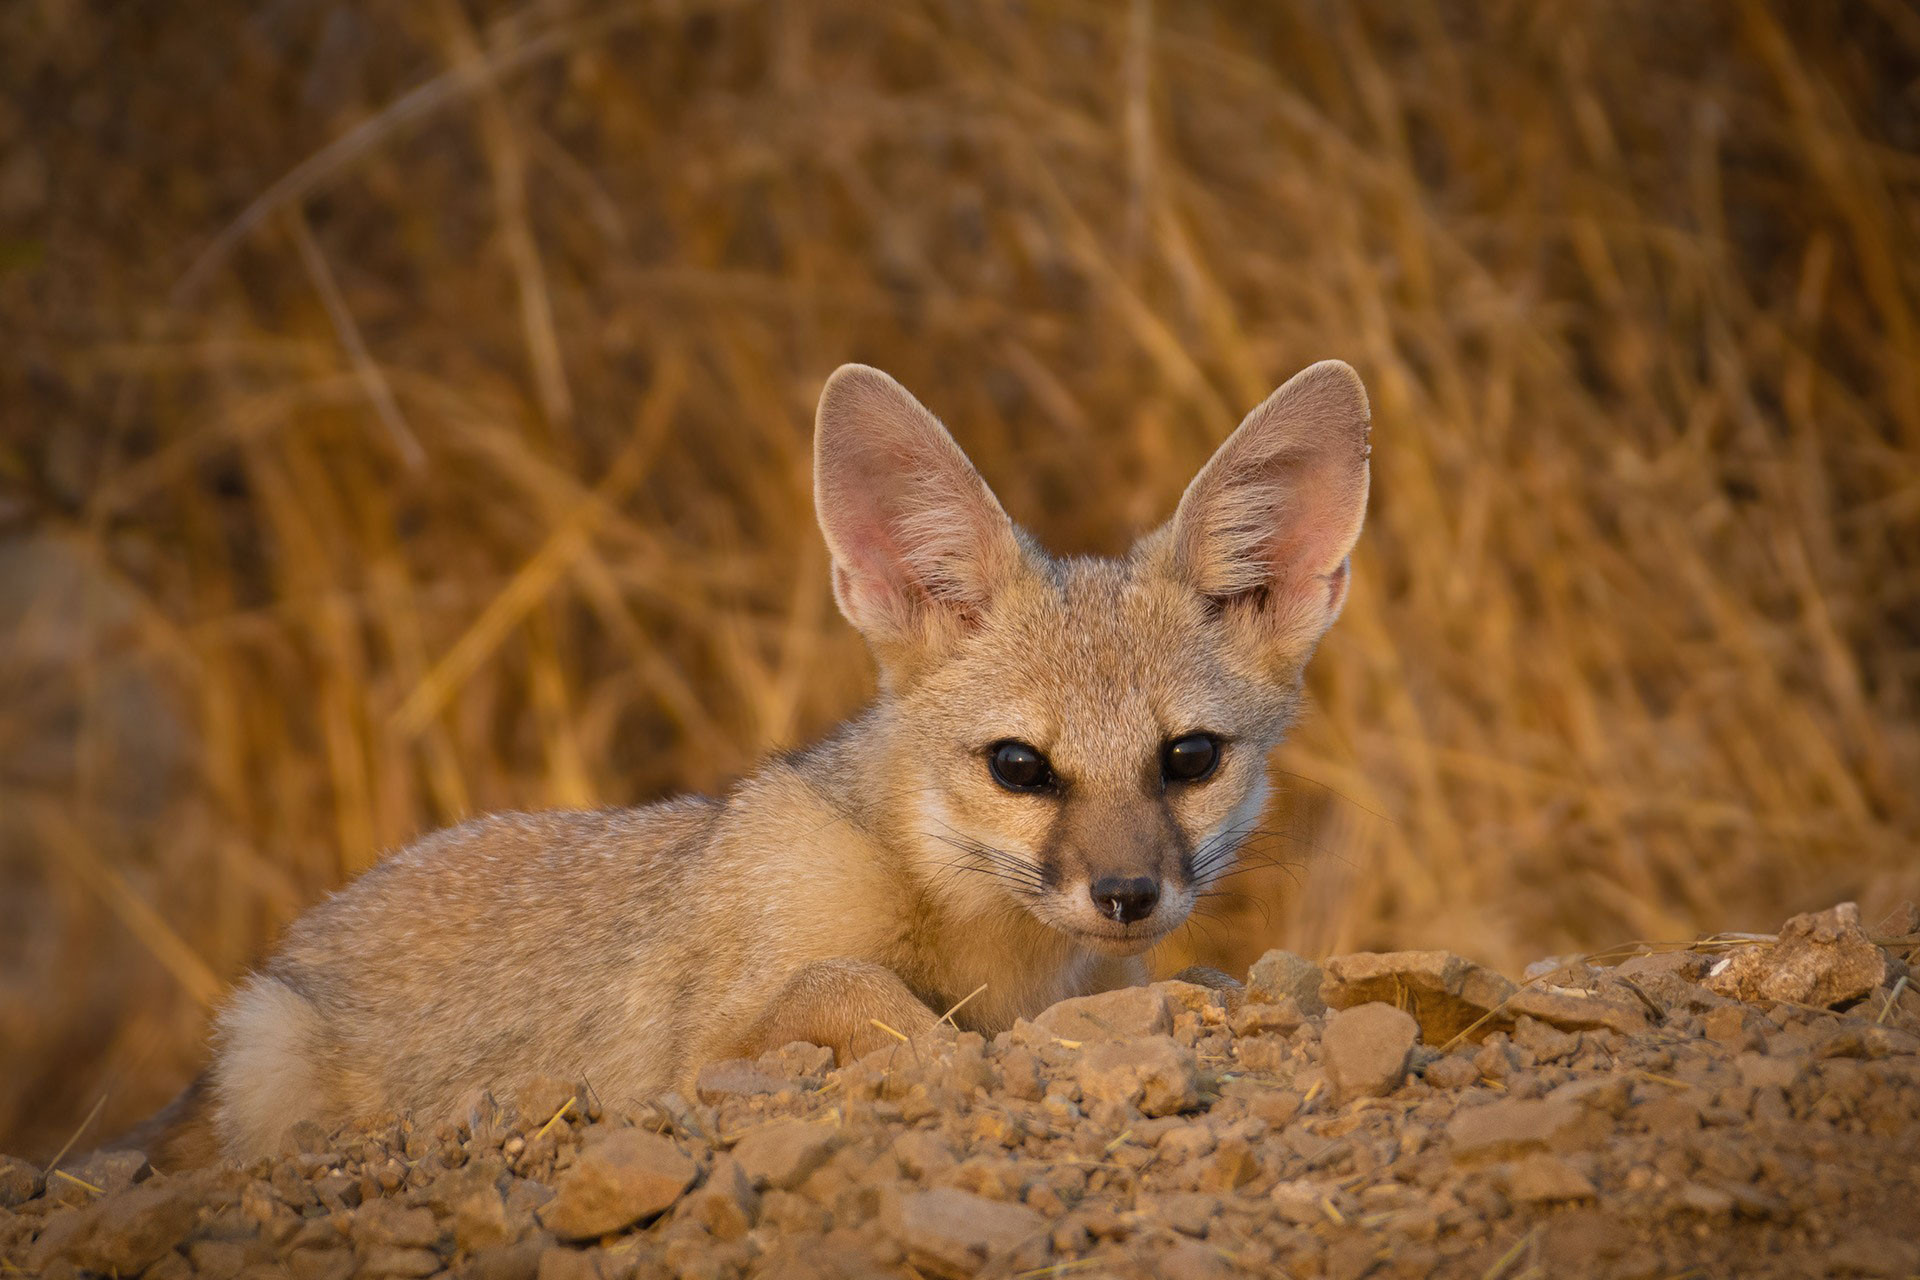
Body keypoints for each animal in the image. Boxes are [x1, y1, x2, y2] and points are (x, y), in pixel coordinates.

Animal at [132, 358, 1371, 1167]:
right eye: (1019, 765)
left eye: (1189, 756)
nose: (1125, 894)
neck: (978, 939)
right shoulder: (695, 1049)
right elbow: (850, 986)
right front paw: (945, 1054)